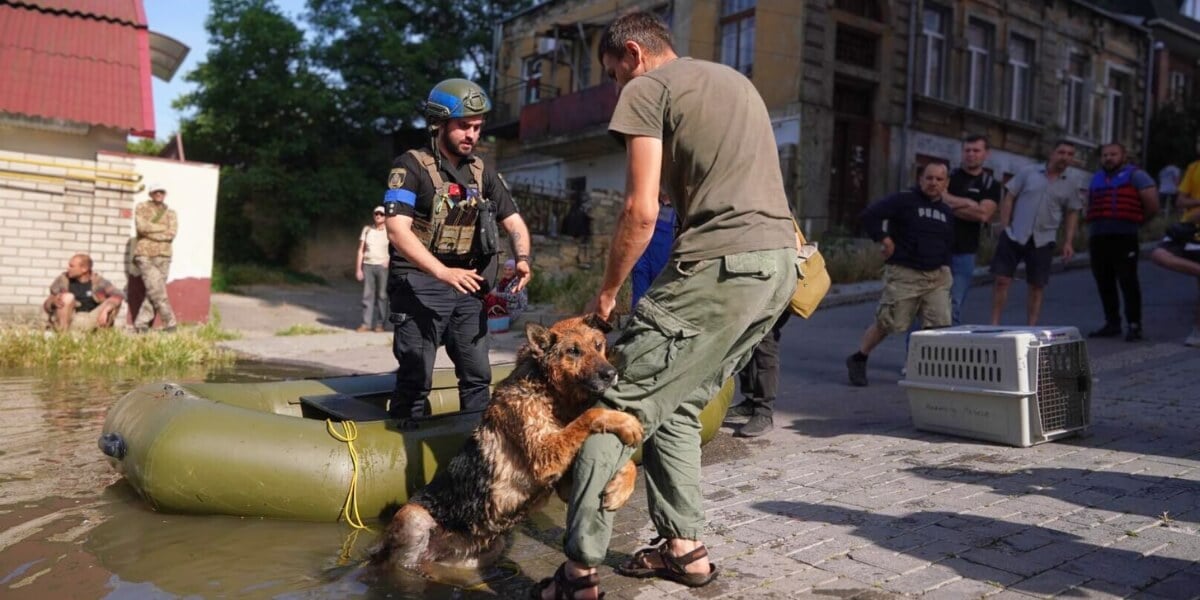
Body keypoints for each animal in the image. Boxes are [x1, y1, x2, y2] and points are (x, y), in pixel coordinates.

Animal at [369, 314, 643, 571]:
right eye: (573, 351)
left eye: (598, 345)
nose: (611, 374)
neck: (548, 390)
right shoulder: (545, 455)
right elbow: (590, 415)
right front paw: (626, 421)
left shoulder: (564, 482)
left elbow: (626, 463)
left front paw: (620, 489)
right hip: (415, 519)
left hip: (484, 552)